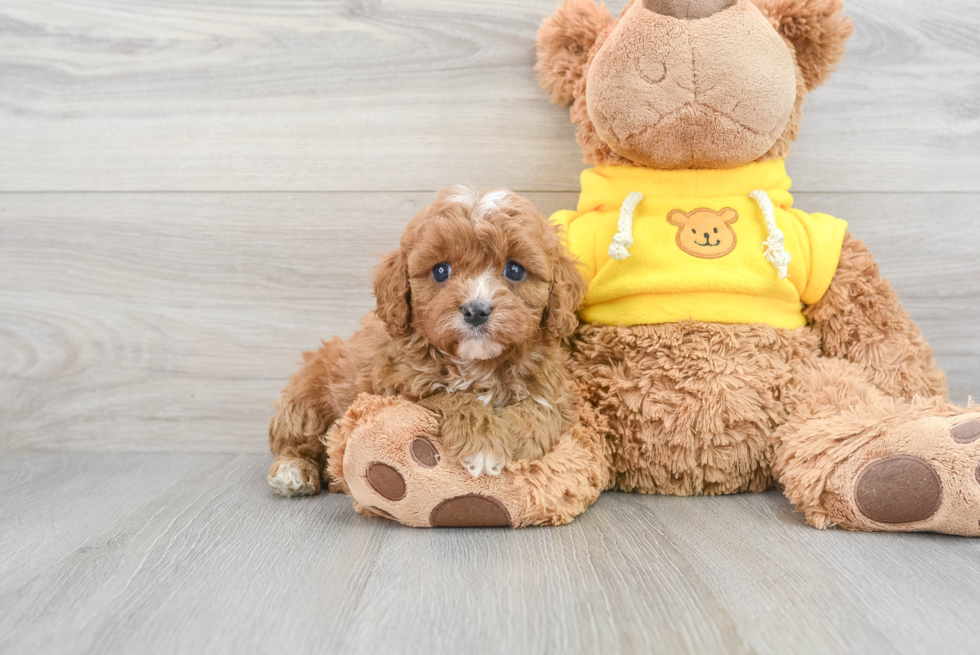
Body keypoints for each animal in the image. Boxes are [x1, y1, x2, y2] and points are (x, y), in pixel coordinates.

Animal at [266, 187, 580, 500]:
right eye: (440, 271)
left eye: (515, 270)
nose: (476, 310)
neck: (475, 363)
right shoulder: (400, 388)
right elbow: (451, 396)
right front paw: (483, 445)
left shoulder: (550, 392)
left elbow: (539, 414)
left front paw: (515, 447)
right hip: (305, 397)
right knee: (295, 440)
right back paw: (293, 471)